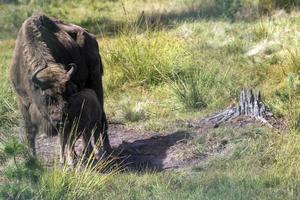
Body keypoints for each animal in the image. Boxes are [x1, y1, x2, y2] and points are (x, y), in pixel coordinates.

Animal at [10, 13, 112, 158]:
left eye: (67, 93)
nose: (60, 120)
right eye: (47, 96)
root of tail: (90, 36)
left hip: (96, 81)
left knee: (100, 118)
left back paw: (105, 150)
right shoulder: (23, 101)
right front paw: (32, 158)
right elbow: (30, 132)